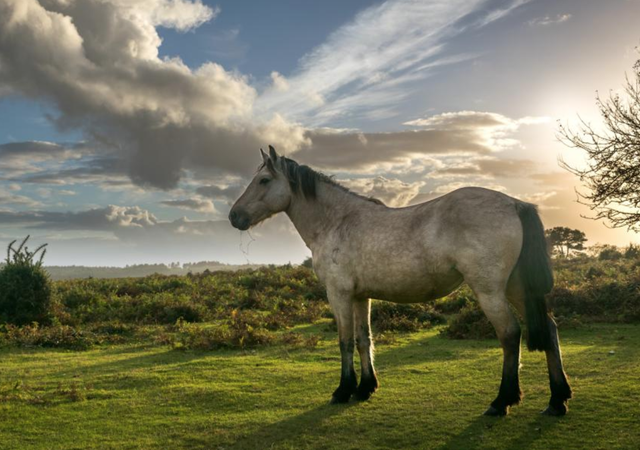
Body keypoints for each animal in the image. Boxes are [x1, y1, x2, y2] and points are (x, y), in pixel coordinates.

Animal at [229, 146, 568, 416]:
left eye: (264, 180)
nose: (234, 216)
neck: (336, 221)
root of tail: (514, 203)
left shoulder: (338, 294)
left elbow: (344, 341)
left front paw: (343, 390)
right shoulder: (359, 296)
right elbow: (363, 339)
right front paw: (366, 388)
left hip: (490, 291)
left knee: (510, 335)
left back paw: (502, 402)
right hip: (516, 288)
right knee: (550, 329)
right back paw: (557, 400)